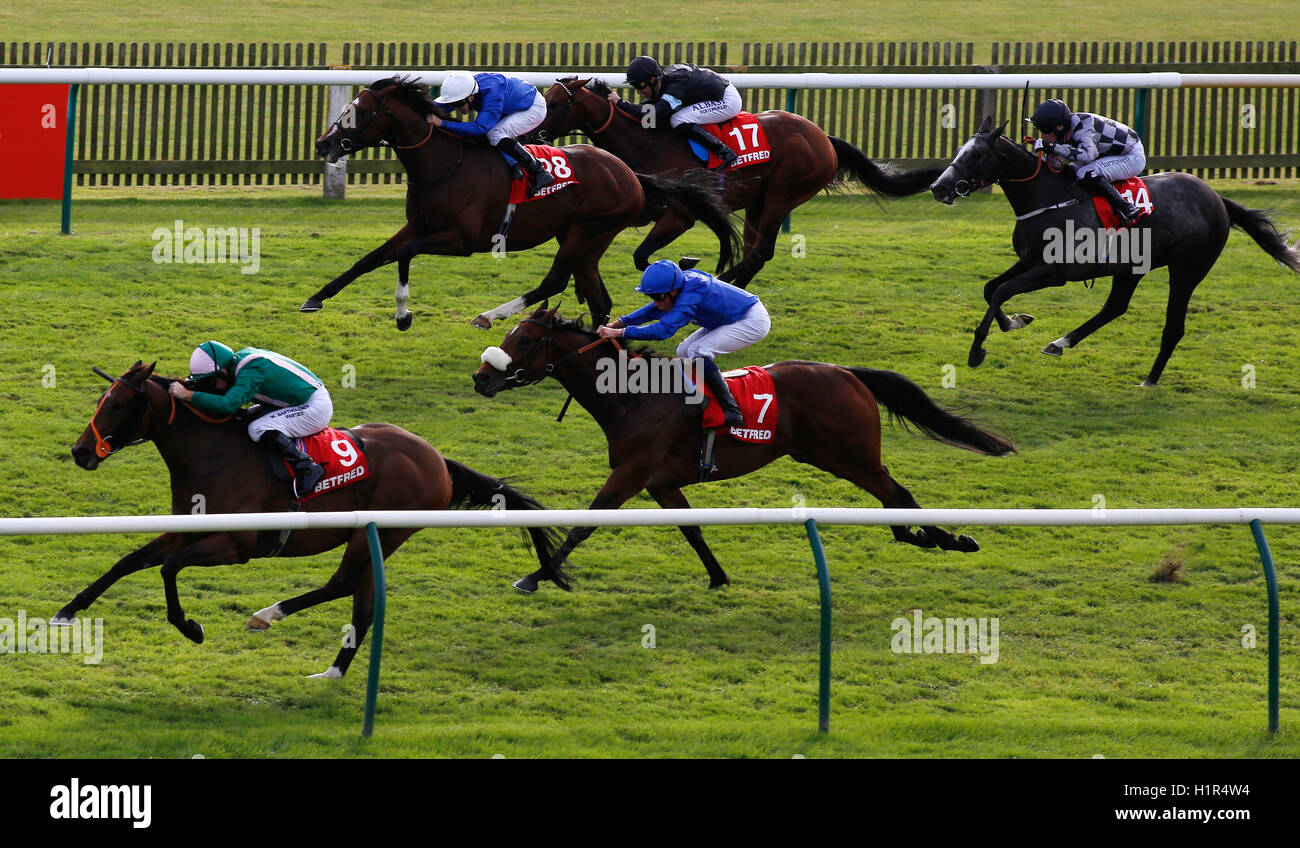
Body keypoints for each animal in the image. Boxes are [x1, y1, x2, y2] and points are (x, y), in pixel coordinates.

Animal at [63, 361, 566, 681]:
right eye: (102, 399)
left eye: (118, 405)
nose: (80, 452)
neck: (213, 453)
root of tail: (438, 460)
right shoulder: (184, 529)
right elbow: (128, 561)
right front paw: (68, 611)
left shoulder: (236, 546)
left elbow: (168, 568)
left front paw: (191, 627)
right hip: (375, 536)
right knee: (363, 605)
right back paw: (332, 672)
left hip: (380, 531)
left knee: (342, 584)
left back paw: (267, 615)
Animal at [306, 78, 743, 331]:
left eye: (359, 112)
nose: (323, 144)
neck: (444, 165)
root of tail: (630, 174)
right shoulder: (418, 226)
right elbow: (371, 258)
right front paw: (316, 298)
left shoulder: (462, 241)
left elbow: (404, 255)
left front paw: (403, 314)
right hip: (585, 240)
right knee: (597, 298)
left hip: (588, 231)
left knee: (555, 282)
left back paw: (491, 316)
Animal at [475, 308, 1013, 593]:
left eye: (523, 339)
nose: (481, 378)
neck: (633, 396)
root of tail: (847, 372)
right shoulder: (661, 482)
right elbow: (691, 530)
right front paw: (718, 577)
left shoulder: (630, 474)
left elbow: (584, 525)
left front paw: (536, 576)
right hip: (831, 457)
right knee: (891, 500)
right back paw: (921, 537)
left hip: (851, 455)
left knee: (898, 494)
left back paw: (951, 539)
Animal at [533, 79, 941, 291]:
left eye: (556, 103)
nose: (534, 133)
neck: (647, 140)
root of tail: (823, 137)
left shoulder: (681, 214)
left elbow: (642, 256)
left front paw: (687, 268)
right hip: (758, 202)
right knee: (755, 252)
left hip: (782, 195)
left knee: (760, 252)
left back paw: (724, 280)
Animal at [930, 117, 1294, 384]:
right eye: (960, 150)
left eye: (977, 155)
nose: (938, 187)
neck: (1046, 197)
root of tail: (1217, 198)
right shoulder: (1029, 260)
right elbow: (991, 288)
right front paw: (1016, 322)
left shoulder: (1054, 272)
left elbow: (1001, 291)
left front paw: (977, 351)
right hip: (1132, 267)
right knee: (1115, 307)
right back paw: (1060, 343)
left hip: (1187, 270)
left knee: (1173, 327)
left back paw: (1149, 380)